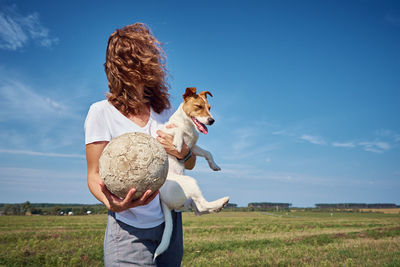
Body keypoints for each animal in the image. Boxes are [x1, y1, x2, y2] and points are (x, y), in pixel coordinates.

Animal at [155, 88, 230, 260]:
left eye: (210, 107)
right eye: (198, 107)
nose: (212, 121)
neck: (188, 125)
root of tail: (162, 201)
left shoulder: (192, 148)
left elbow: (208, 152)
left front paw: (214, 165)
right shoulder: (164, 132)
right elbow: (177, 130)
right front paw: (177, 141)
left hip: (188, 198)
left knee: (199, 210)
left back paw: (218, 206)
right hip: (189, 182)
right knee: (202, 205)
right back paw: (222, 201)